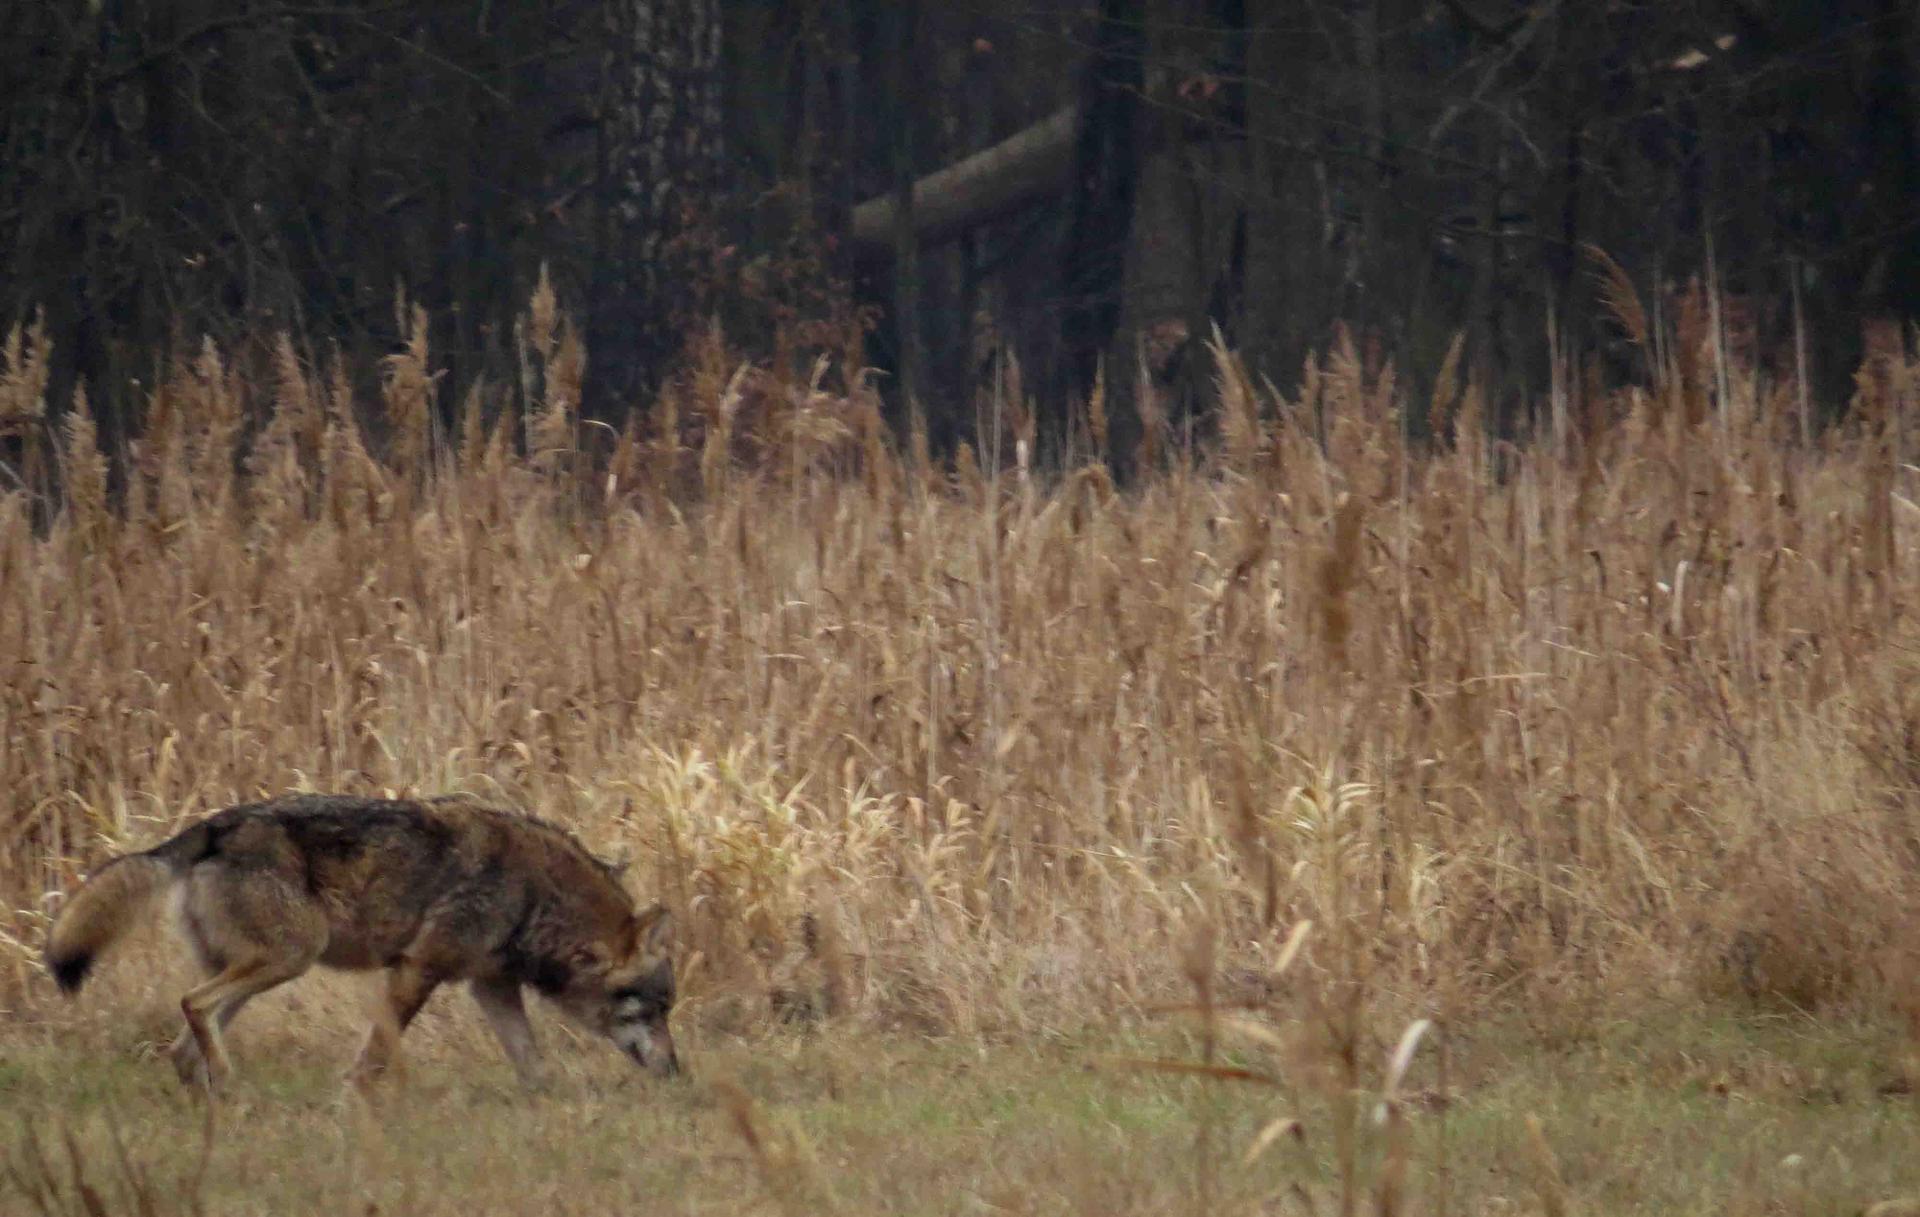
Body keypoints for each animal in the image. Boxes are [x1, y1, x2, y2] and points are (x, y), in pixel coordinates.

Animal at [41, 790, 687, 1082]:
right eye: (654, 1009)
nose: (677, 1070)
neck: (534, 898)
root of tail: (212, 828)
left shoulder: (490, 987)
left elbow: (535, 1065)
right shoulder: (417, 970)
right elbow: (375, 1054)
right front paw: (352, 1102)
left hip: (258, 972)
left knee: (181, 1046)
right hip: (290, 959)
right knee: (192, 1006)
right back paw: (229, 1085)